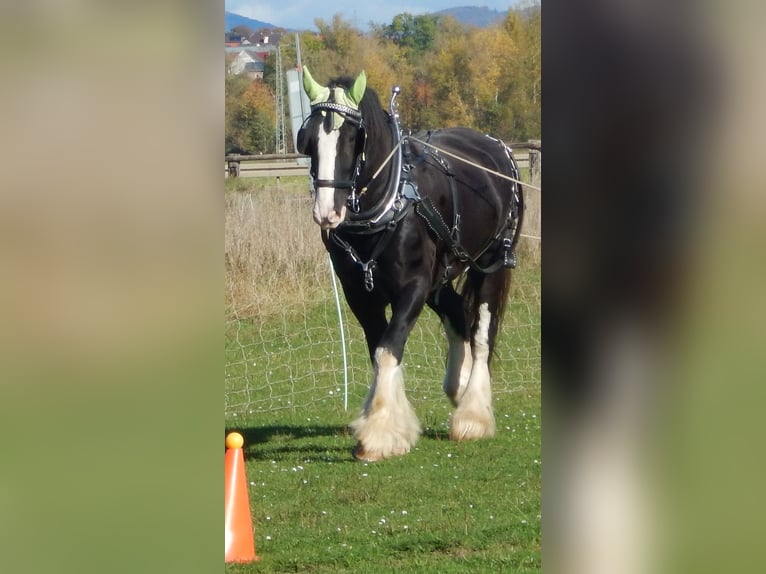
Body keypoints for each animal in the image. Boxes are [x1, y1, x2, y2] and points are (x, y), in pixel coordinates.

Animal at [296, 66, 524, 461]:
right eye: (308, 141)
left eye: (353, 138)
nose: (327, 213)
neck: (389, 202)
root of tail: (498, 146)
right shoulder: (360, 294)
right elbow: (380, 349)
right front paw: (387, 423)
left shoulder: (413, 287)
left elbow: (389, 349)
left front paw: (380, 432)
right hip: (441, 275)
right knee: (456, 313)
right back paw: (458, 384)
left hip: (492, 262)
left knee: (482, 332)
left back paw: (473, 414)